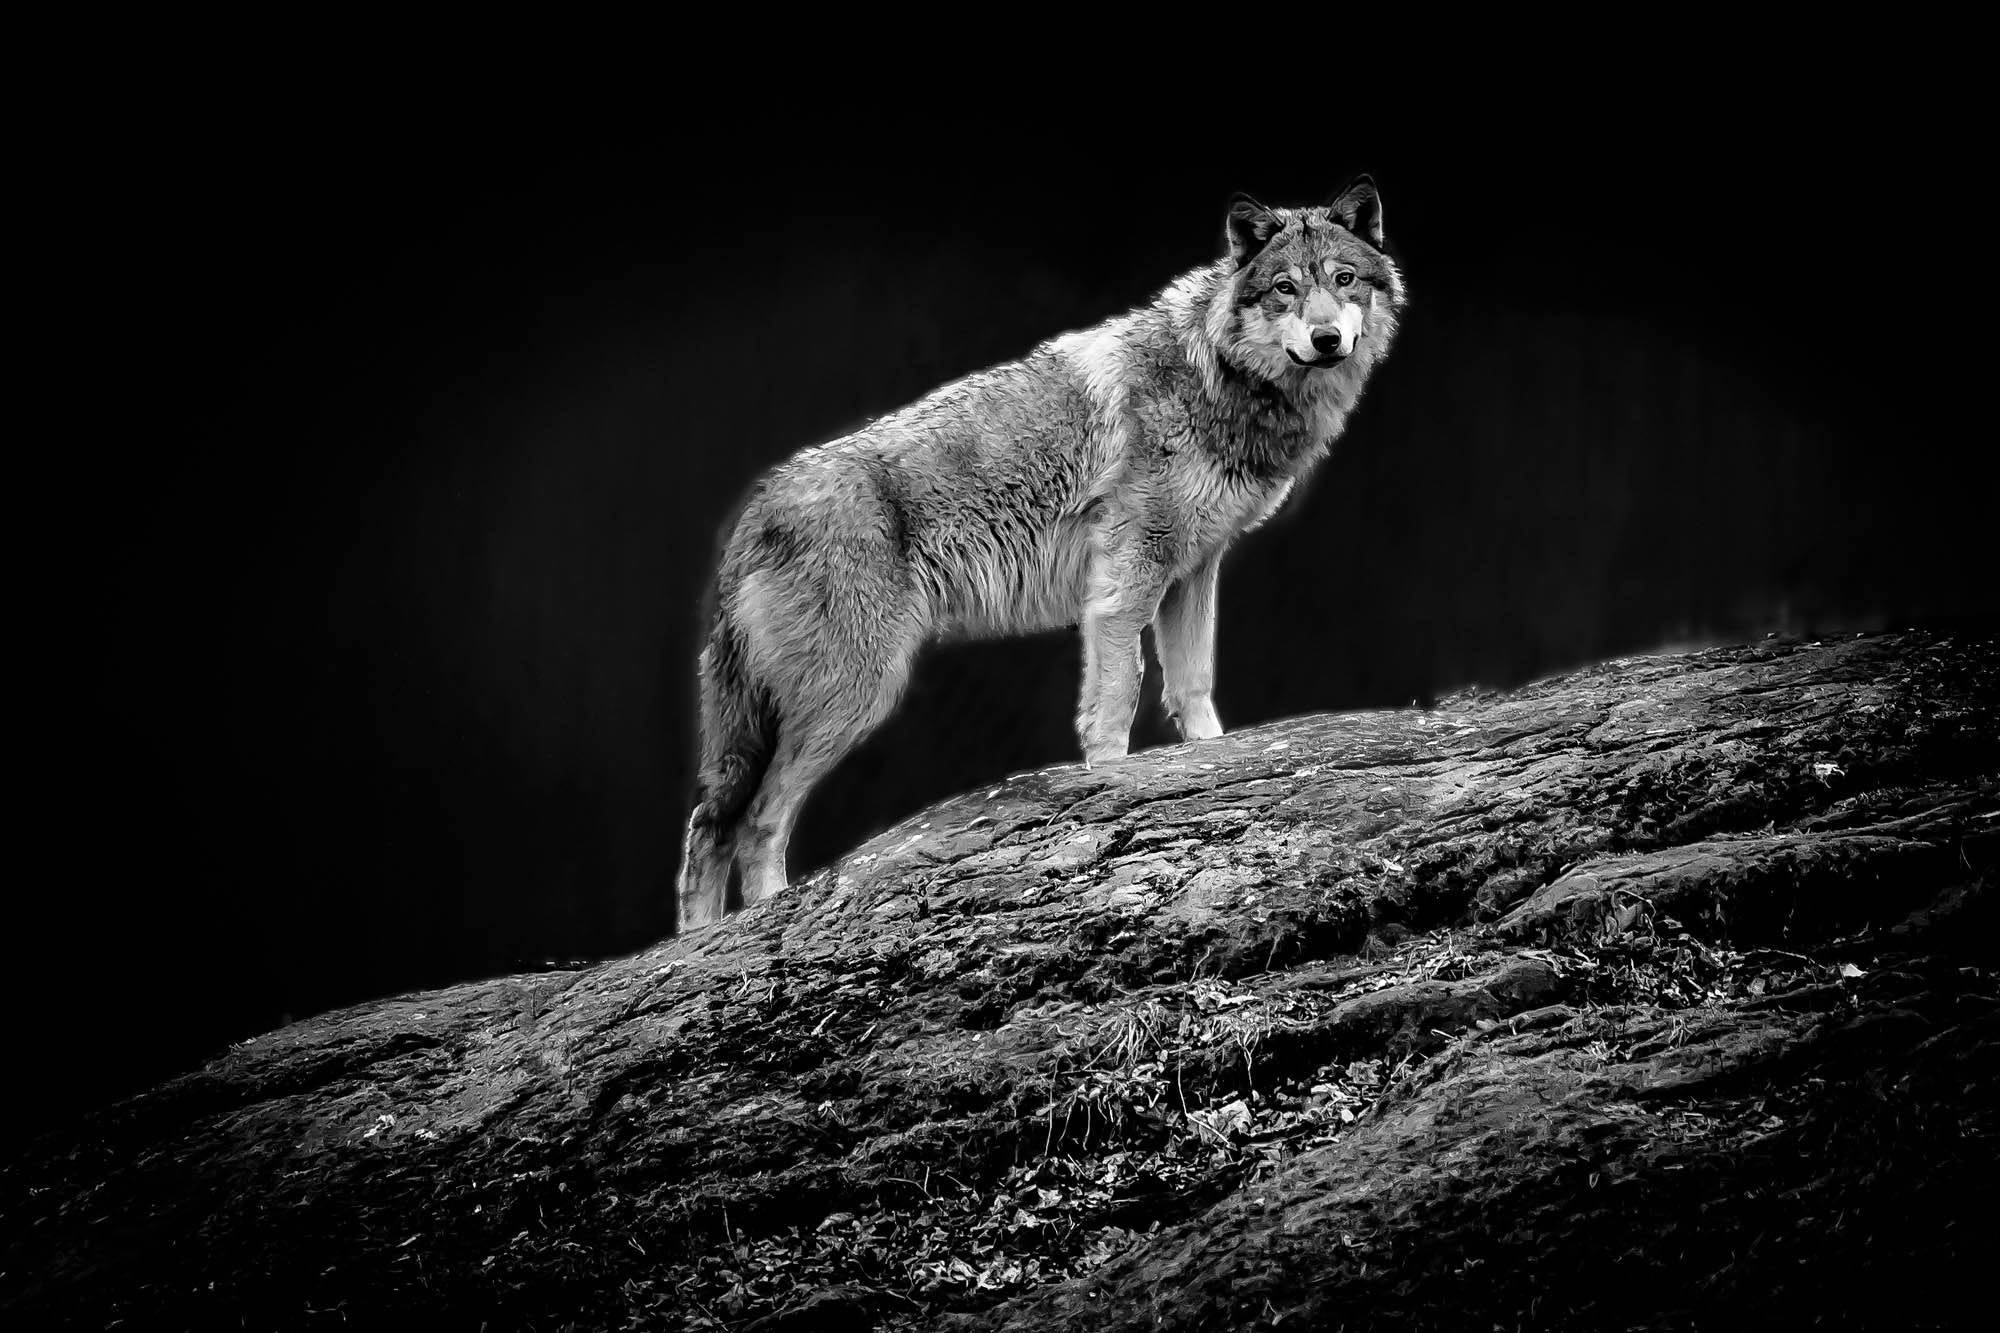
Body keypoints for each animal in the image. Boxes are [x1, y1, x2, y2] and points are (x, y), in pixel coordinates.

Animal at [676, 176, 1405, 930]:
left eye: (1344, 280)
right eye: (1286, 288)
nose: (1326, 338)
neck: (1217, 376)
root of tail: (754, 509)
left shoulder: (1194, 572)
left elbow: (1194, 686)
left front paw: (1210, 761)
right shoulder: (1126, 582)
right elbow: (1117, 698)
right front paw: (1111, 785)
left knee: (709, 824)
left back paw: (698, 943)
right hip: (856, 695)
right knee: (755, 821)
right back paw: (758, 923)